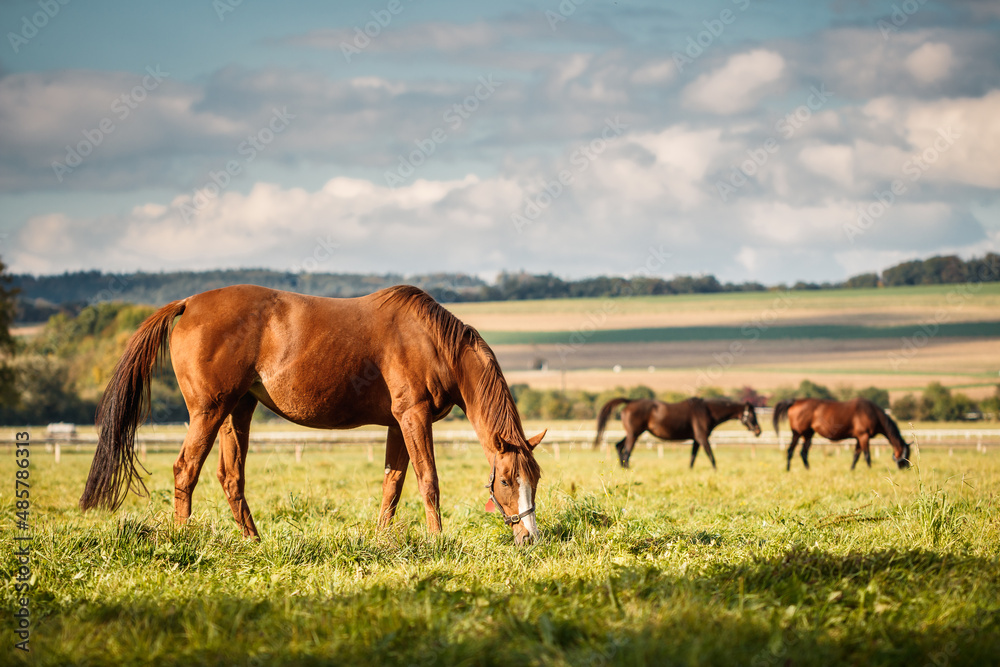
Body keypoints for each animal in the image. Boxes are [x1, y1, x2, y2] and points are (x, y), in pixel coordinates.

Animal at [80, 286, 548, 544]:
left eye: (536, 480)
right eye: (506, 481)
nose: (529, 539)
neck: (432, 342)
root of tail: (189, 303)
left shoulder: (397, 424)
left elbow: (392, 485)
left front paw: (382, 540)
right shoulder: (413, 417)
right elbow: (427, 481)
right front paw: (437, 541)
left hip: (237, 411)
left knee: (231, 478)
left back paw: (254, 541)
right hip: (208, 412)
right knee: (185, 469)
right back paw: (183, 539)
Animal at [588, 396, 760, 470]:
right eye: (752, 414)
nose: (759, 431)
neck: (707, 411)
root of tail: (630, 402)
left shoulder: (696, 440)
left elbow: (693, 457)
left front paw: (690, 471)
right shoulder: (702, 437)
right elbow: (710, 455)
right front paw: (716, 470)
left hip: (634, 433)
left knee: (619, 446)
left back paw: (623, 467)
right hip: (634, 434)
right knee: (627, 451)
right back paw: (627, 468)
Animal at [772, 400, 916, 472]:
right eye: (906, 454)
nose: (905, 468)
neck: (872, 413)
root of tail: (795, 401)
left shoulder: (859, 438)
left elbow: (856, 455)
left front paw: (852, 470)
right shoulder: (863, 436)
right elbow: (867, 455)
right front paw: (870, 470)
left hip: (808, 434)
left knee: (803, 452)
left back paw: (808, 470)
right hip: (797, 433)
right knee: (790, 451)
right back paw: (788, 469)